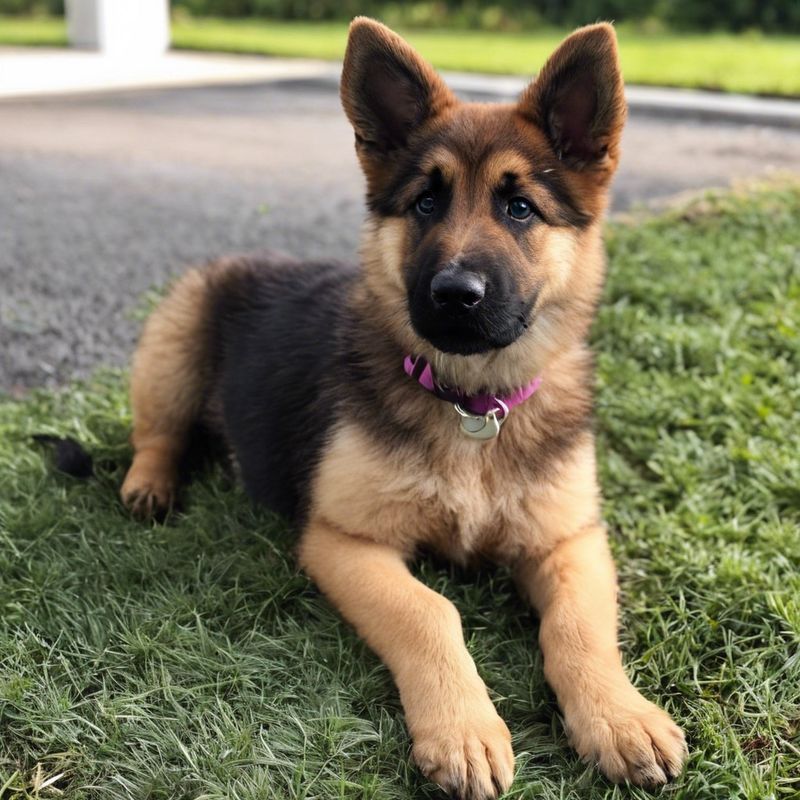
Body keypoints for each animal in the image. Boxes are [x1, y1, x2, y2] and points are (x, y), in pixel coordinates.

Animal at [120, 17, 688, 792]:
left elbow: (576, 627)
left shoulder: (570, 540)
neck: (471, 404)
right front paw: (465, 729)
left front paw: (619, 715)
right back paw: (149, 483)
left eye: (519, 208)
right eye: (426, 202)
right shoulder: (342, 539)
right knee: (158, 433)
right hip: (175, 337)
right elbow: (429, 611)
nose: (455, 294)